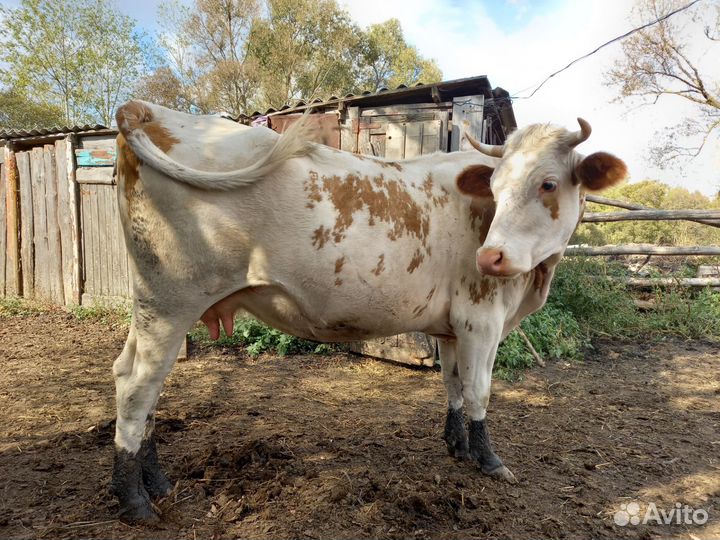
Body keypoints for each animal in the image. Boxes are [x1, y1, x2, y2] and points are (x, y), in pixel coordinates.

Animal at [110, 100, 627, 522]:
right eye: (496, 188)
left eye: (548, 183)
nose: (490, 258)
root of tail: (147, 110)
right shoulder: (481, 320)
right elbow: (479, 391)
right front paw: (489, 460)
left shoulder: (451, 329)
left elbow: (453, 386)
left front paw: (457, 445)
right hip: (171, 301)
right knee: (139, 388)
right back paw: (132, 500)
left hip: (150, 304)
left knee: (130, 377)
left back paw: (156, 483)